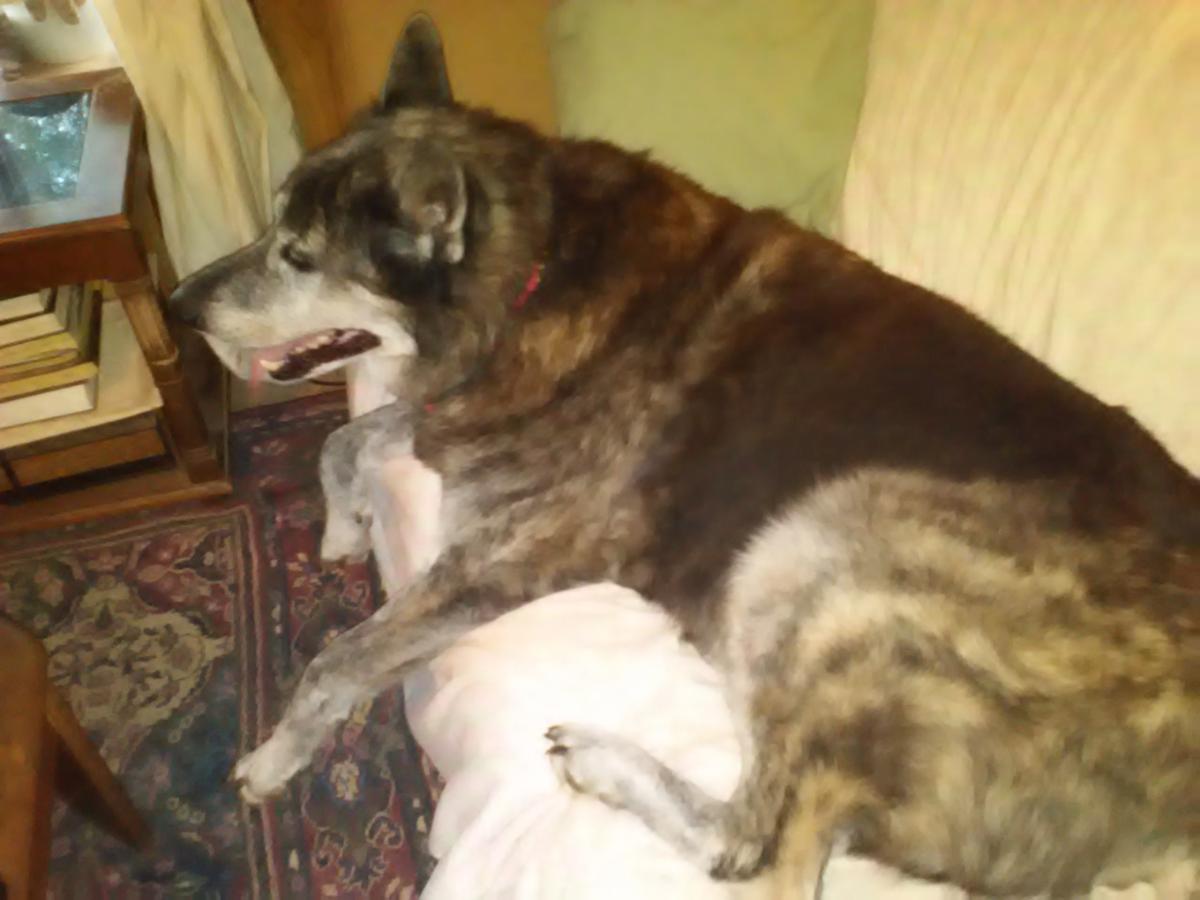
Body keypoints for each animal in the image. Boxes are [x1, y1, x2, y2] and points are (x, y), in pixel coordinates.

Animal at [168, 16, 1200, 898]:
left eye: (299, 256)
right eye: (273, 230)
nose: (178, 307)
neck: (534, 272)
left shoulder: (499, 552)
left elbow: (337, 657)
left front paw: (272, 758)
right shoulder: (460, 419)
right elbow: (348, 435)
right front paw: (343, 527)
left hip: (832, 542)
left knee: (764, 858)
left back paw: (608, 761)